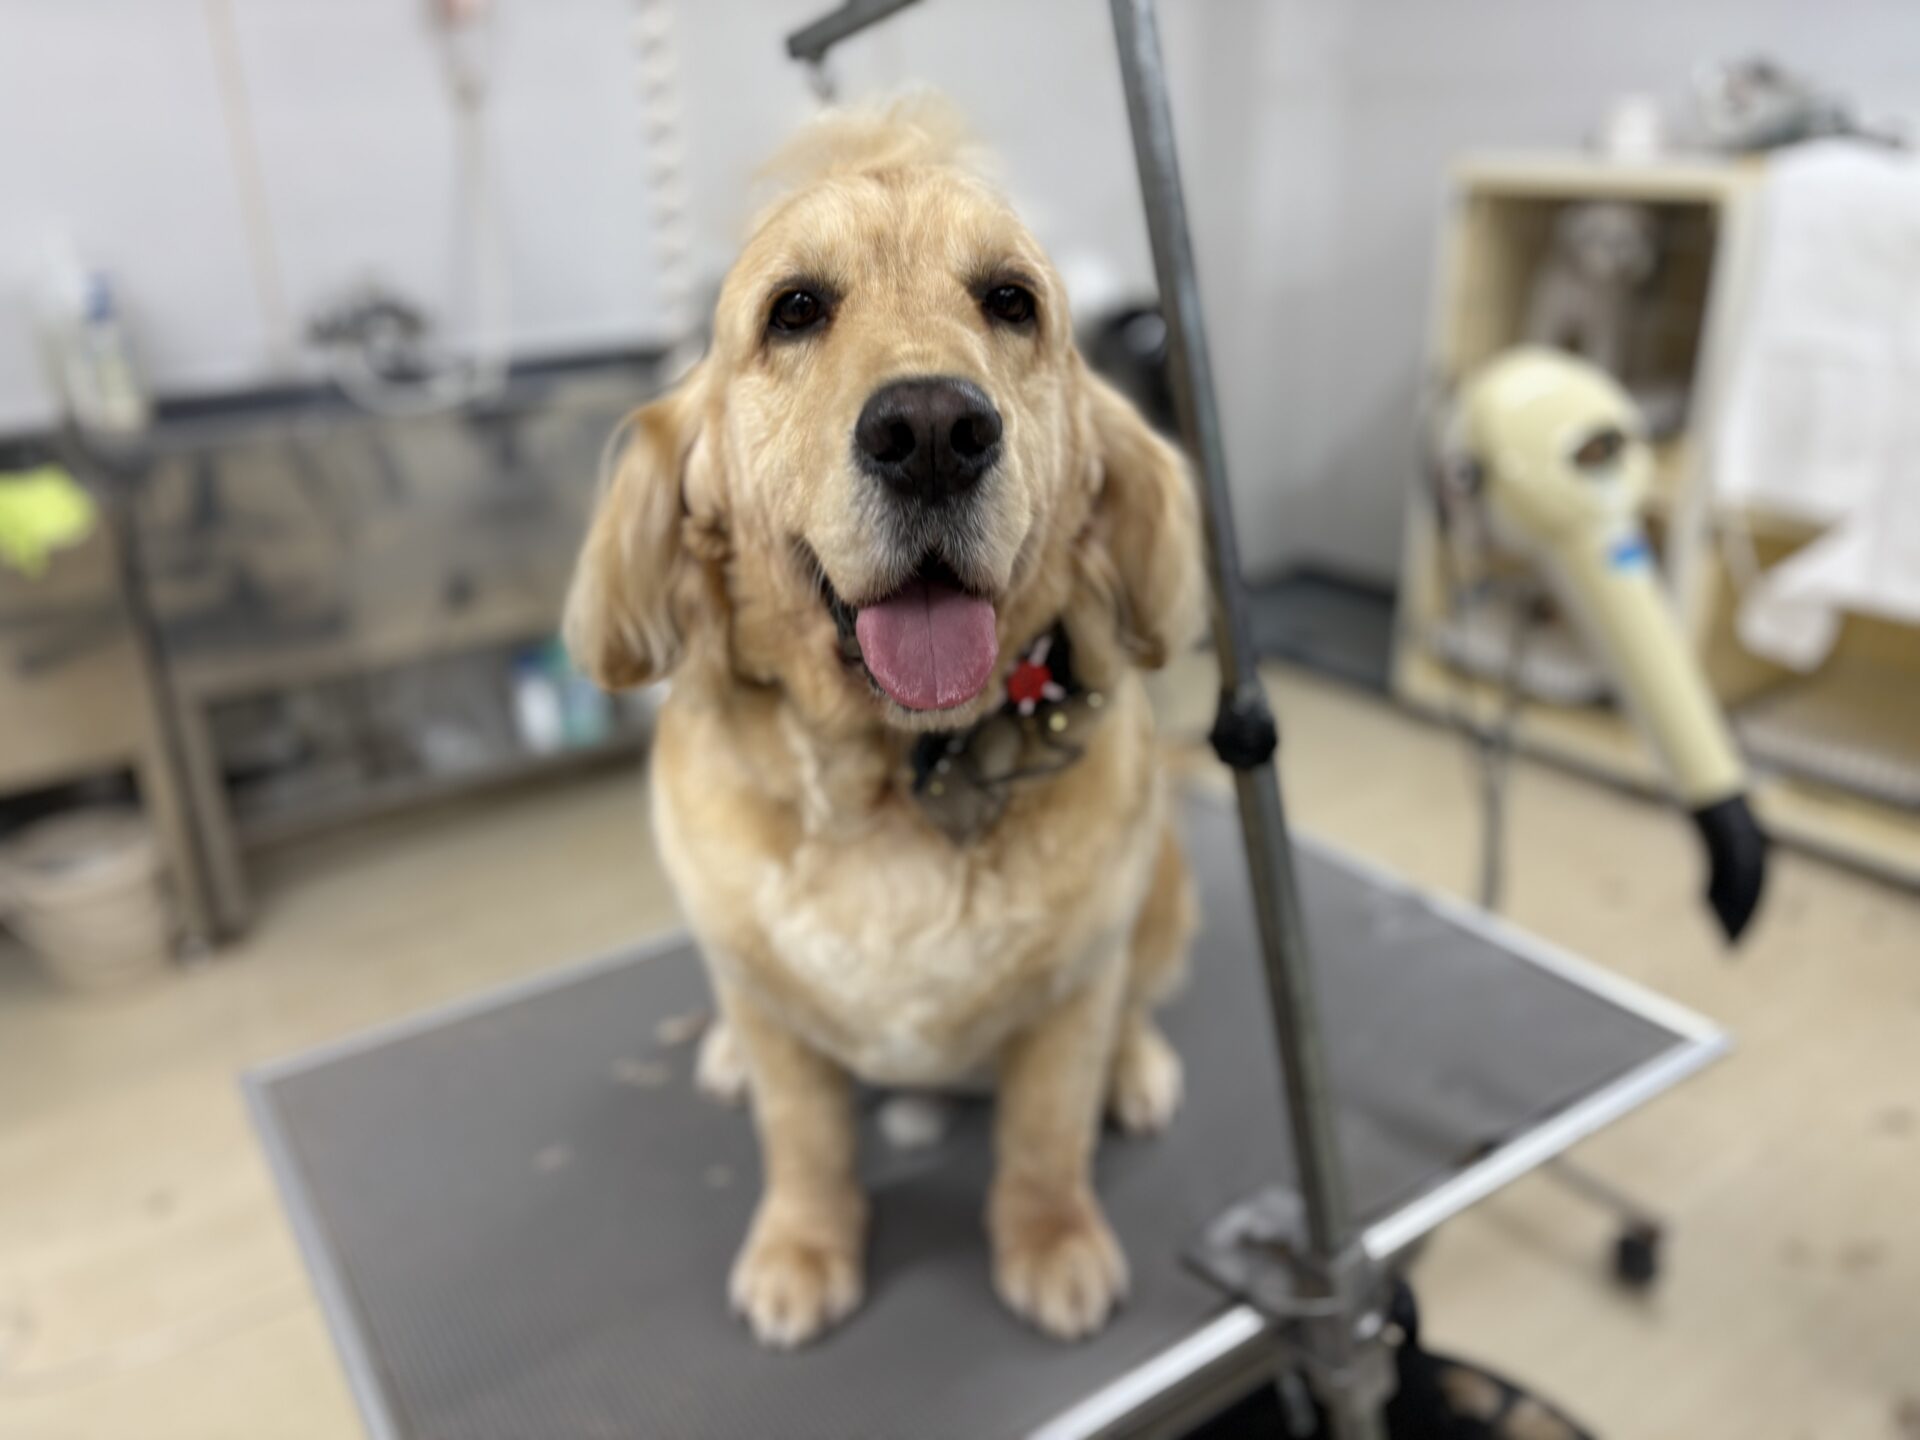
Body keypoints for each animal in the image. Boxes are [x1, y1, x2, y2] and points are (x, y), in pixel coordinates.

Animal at [565, 99, 1203, 1348]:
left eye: (1010, 300)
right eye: (795, 309)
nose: (934, 430)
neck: (892, 773)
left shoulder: (1072, 993)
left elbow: (1046, 1137)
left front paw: (1052, 1243)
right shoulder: (772, 1005)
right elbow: (804, 1141)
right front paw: (804, 1251)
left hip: (1161, 890)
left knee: (1142, 1000)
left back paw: (1141, 1067)